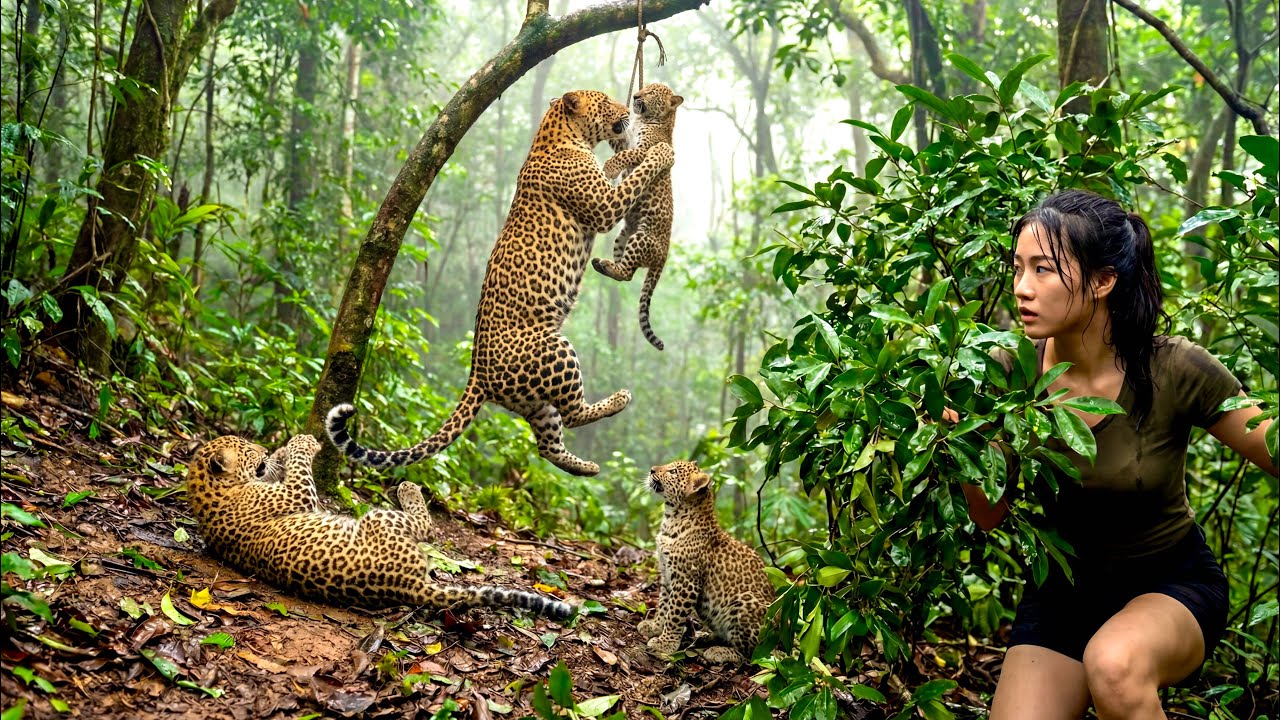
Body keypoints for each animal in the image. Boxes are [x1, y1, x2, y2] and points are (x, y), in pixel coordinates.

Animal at [186, 434, 573, 619]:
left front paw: (281, 453)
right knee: (426, 528)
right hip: (380, 519)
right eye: (247, 449)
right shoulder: (296, 495)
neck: (208, 492)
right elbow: (299, 468)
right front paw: (301, 443)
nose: (263, 447)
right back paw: (408, 487)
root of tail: (410, 587)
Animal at [327, 89, 675, 477]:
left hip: (534, 400)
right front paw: (660, 152)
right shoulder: (604, 206)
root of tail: (477, 375)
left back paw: (585, 466)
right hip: (555, 350)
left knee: (548, 444)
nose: (628, 107)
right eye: (604, 101)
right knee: (572, 414)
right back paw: (618, 401)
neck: (558, 134)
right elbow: (634, 177)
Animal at [592, 83, 684, 351]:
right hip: (623, 237)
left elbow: (624, 157)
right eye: (646, 87)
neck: (647, 120)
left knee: (627, 273)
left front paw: (610, 168)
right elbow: (616, 140)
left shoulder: (642, 150)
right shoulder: (625, 141)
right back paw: (605, 265)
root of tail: (663, 256)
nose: (636, 95)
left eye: (652, 92)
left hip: (641, 238)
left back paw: (605, 265)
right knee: (628, 274)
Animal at [638, 460, 775, 664]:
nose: (652, 469)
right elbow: (663, 605)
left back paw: (719, 651)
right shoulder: (667, 575)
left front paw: (665, 644)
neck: (671, 518)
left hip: (745, 602)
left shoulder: (686, 580)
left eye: (673, 471)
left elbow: (674, 614)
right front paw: (655, 626)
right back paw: (705, 638)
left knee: (751, 655)